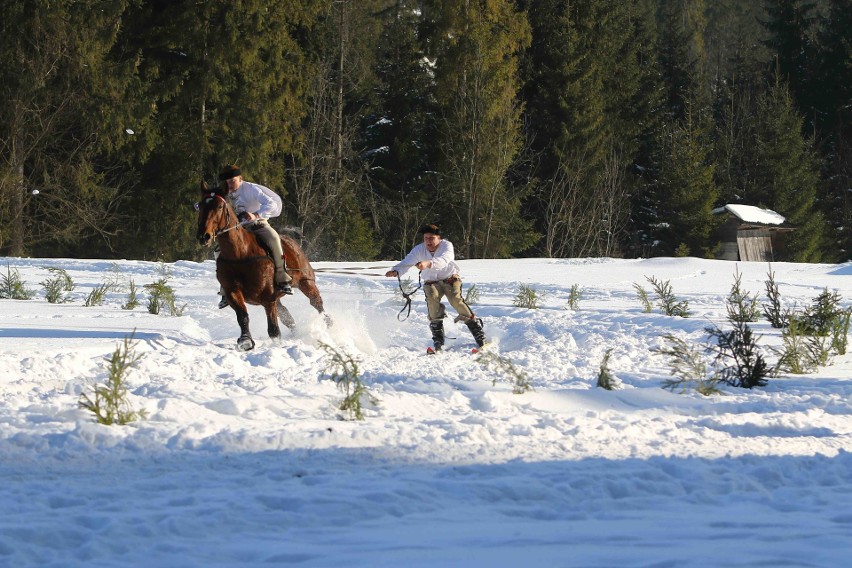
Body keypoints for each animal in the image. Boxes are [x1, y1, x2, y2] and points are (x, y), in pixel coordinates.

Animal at [196, 182, 330, 350]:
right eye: (200, 205)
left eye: (219, 206)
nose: (204, 236)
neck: (240, 254)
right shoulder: (233, 291)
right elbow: (243, 316)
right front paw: (245, 341)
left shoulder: (268, 298)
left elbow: (273, 330)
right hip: (279, 299)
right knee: (288, 318)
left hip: (306, 283)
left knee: (317, 303)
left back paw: (329, 325)